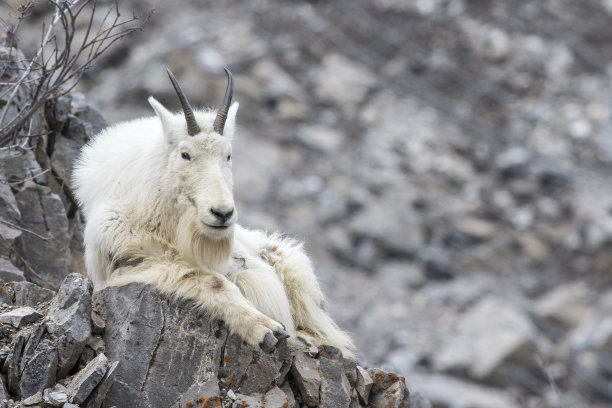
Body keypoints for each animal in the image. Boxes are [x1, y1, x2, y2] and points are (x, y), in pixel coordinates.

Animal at [73, 68, 354, 356]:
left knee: (325, 331)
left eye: (228, 155)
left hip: (292, 270)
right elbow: (211, 280)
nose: (222, 213)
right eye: (185, 154)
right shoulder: (127, 259)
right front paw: (265, 329)